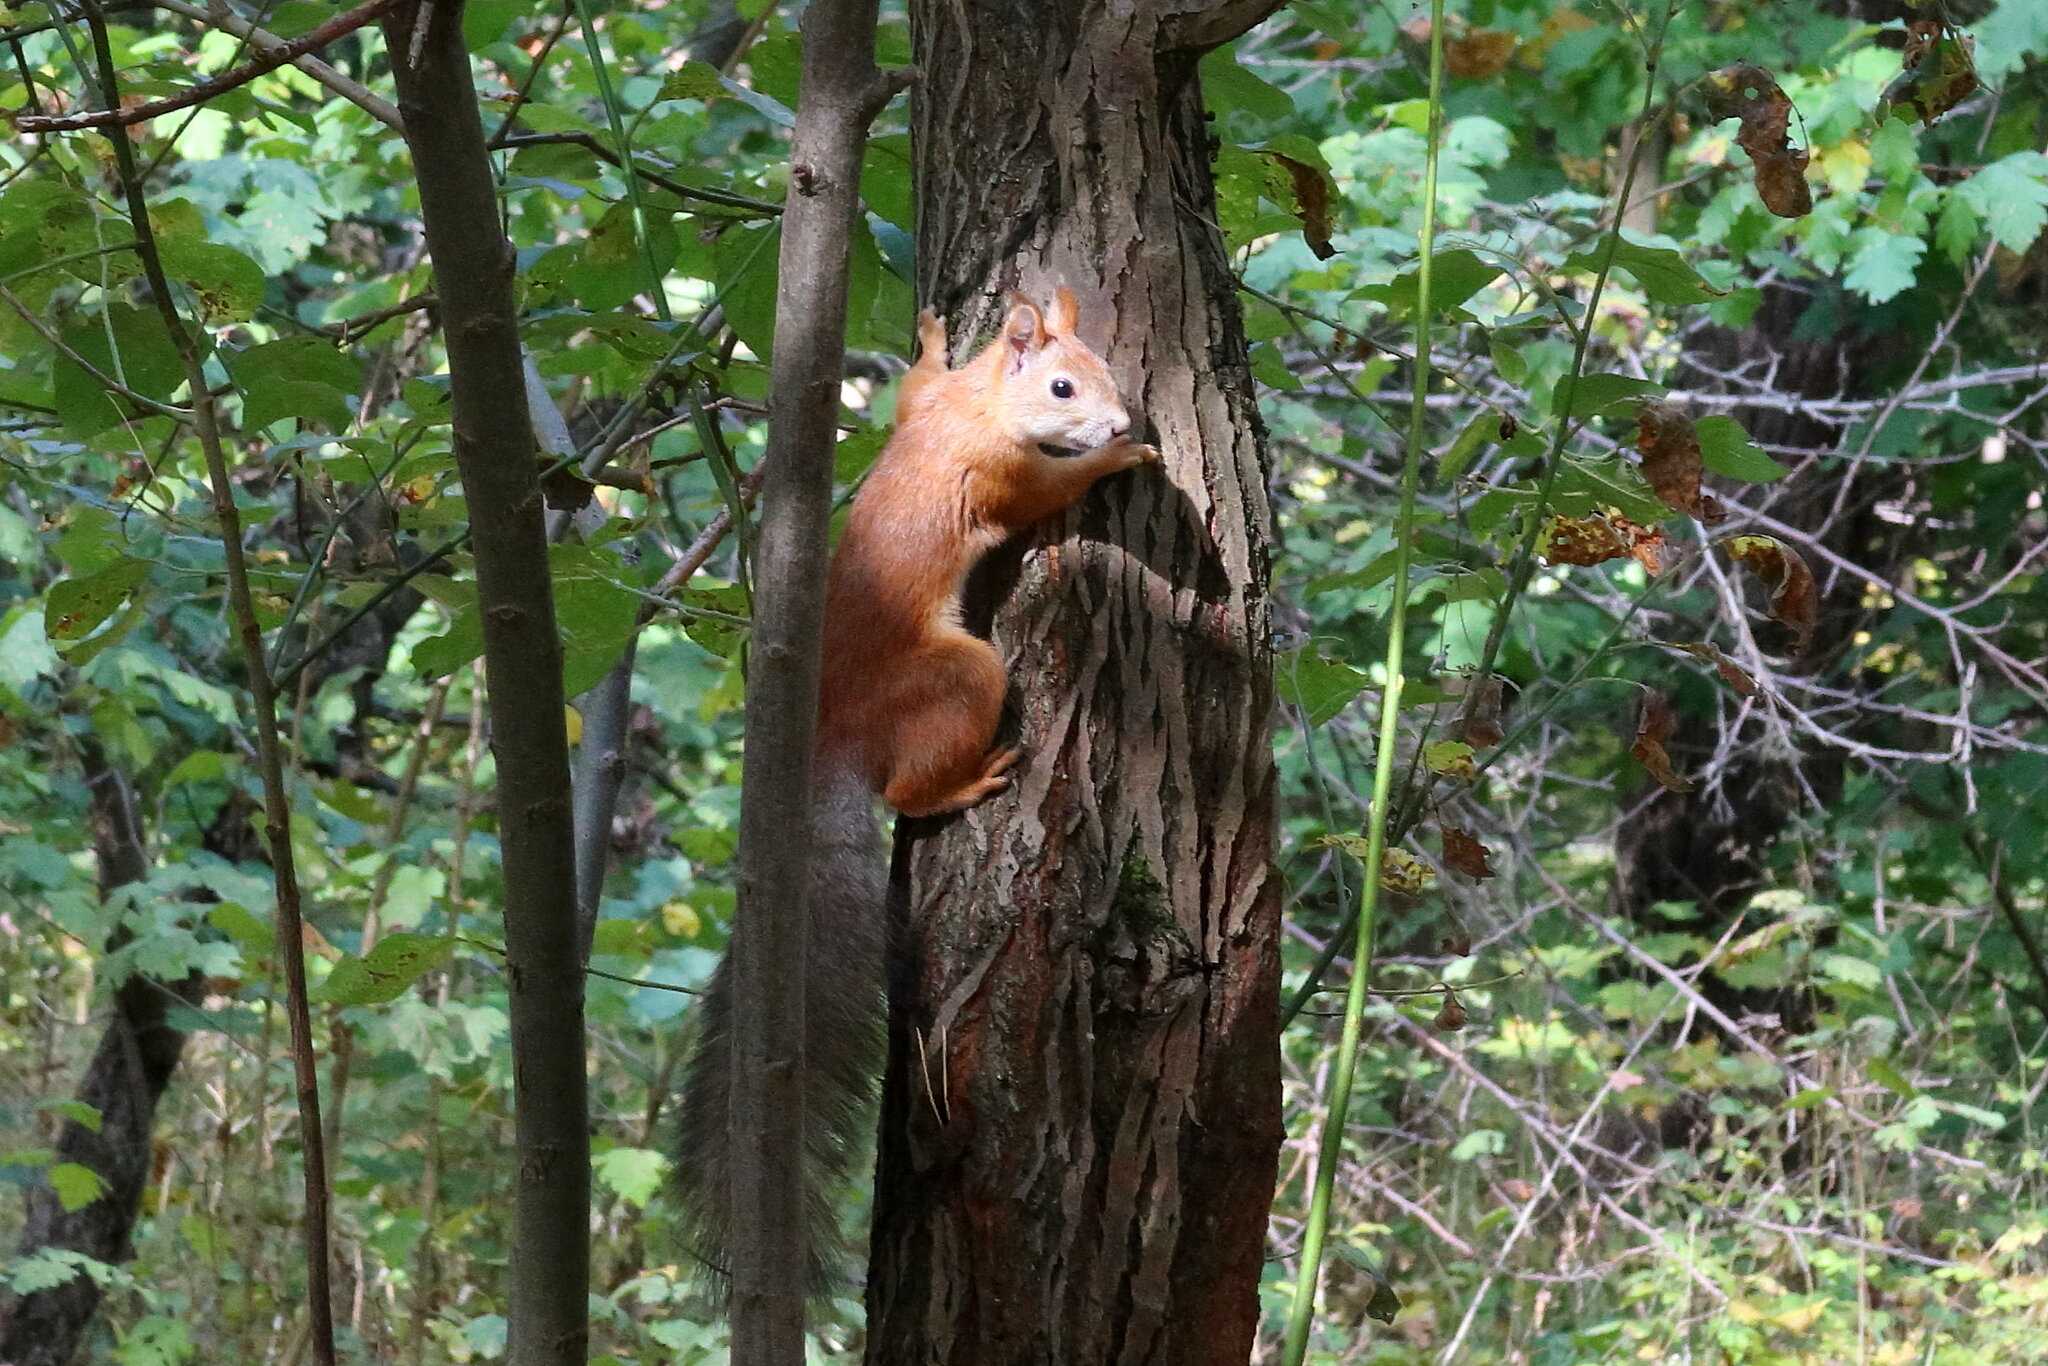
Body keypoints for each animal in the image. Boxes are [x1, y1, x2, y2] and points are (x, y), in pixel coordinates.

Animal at [674, 285, 1158, 1295]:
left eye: (1099, 363)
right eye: (1063, 387)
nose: (1119, 421)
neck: (979, 405)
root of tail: (829, 738)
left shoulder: (926, 408)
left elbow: (908, 388)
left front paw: (934, 337)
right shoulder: (1004, 475)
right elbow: (1050, 492)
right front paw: (1117, 460)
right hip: (961, 676)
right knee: (907, 789)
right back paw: (970, 780)